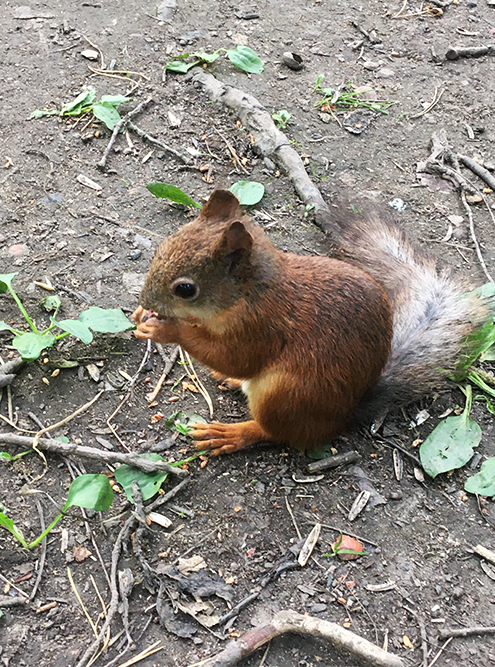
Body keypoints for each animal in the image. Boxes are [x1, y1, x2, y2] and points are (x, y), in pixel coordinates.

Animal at [132, 190, 488, 456]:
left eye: (185, 289)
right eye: (162, 247)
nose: (146, 301)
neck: (249, 293)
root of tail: (345, 414)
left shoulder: (262, 329)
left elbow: (236, 357)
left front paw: (168, 329)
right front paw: (141, 315)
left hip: (287, 395)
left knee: (274, 432)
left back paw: (233, 433)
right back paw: (230, 382)